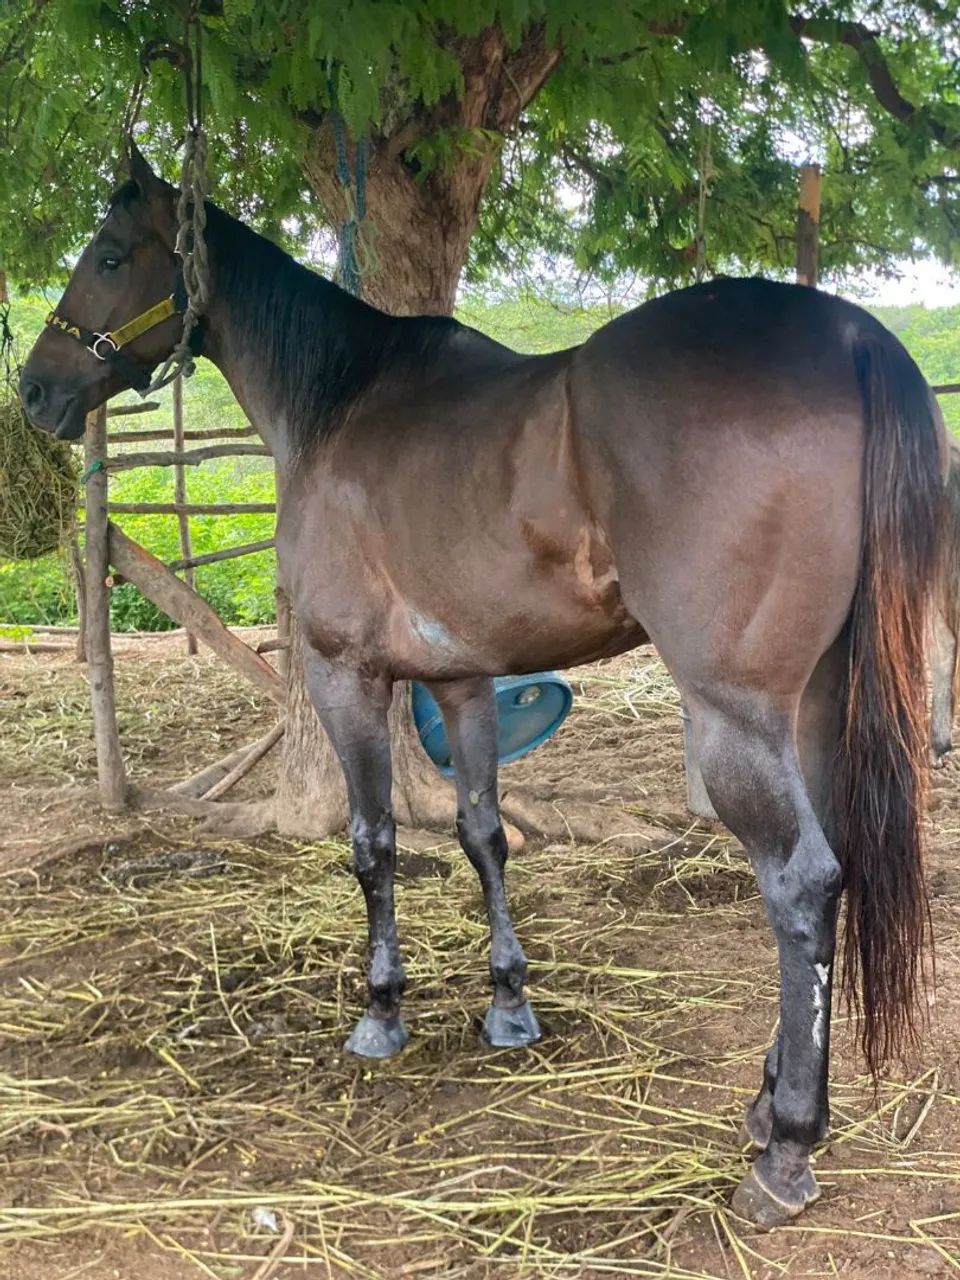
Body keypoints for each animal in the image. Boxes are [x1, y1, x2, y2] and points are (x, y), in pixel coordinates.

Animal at [19, 149, 947, 1228]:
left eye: (109, 253)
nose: (34, 389)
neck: (343, 402)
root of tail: (847, 334)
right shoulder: (462, 681)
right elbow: (482, 833)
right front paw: (508, 1002)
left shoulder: (345, 674)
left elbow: (374, 842)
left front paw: (382, 1011)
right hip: (818, 704)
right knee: (831, 869)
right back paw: (767, 1101)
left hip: (739, 716)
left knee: (800, 880)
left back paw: (788, 1145)